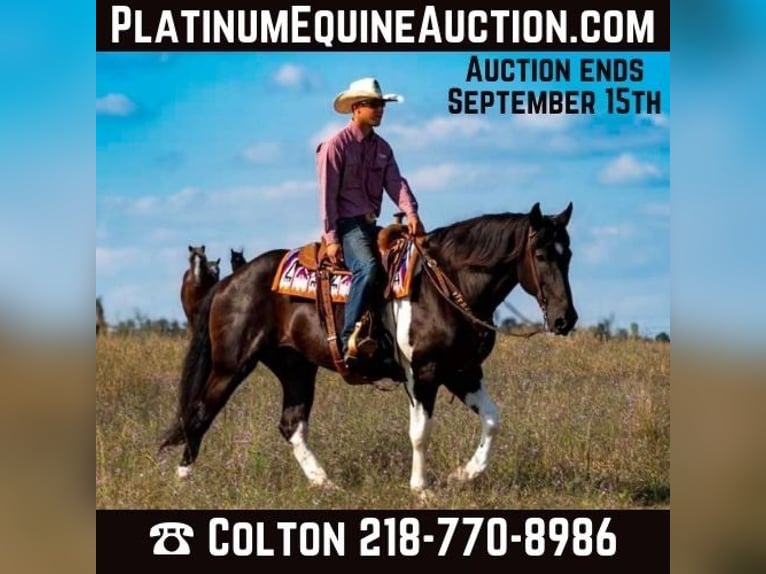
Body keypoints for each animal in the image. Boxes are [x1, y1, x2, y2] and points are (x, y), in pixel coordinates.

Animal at [160, 202, 577, 496]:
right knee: (199, 414)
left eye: (568, 254)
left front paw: (461, 475)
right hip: (231, 365)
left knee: (291, 424)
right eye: (541, 255)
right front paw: (421, 489)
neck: (448, 284)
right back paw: (183, 480)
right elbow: (420, 432)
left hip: (296, 368)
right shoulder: (423, 374)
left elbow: (492, 420)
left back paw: (326, 485)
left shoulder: (463, 372)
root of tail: (230, 282)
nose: (565, 319)